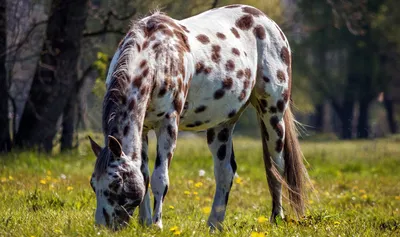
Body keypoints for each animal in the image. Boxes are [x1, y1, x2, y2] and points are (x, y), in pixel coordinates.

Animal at [88, 3, 310, 230]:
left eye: (116, 183)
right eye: (93, 183)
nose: (102, 228)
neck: (157, 57)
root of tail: (268, 22)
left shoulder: (168, 124)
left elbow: (160, 178)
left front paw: (157, 225)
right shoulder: (143, 129)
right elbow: (144, 175)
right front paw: (145, 222)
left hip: (272, 114)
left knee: (276, 167)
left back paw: (277, 218)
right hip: (222, 125)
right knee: (225, 172)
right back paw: (214, 224)